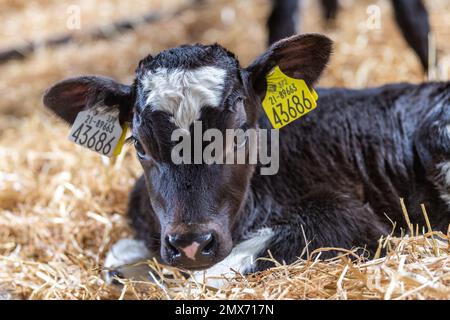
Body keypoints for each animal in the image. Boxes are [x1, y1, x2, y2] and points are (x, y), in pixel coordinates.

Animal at [43, 33, 450, 286]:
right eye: (139, 145)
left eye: (239, 133)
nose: (190, 243)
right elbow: (117, 257)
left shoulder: (353, 221)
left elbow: (217, 271)